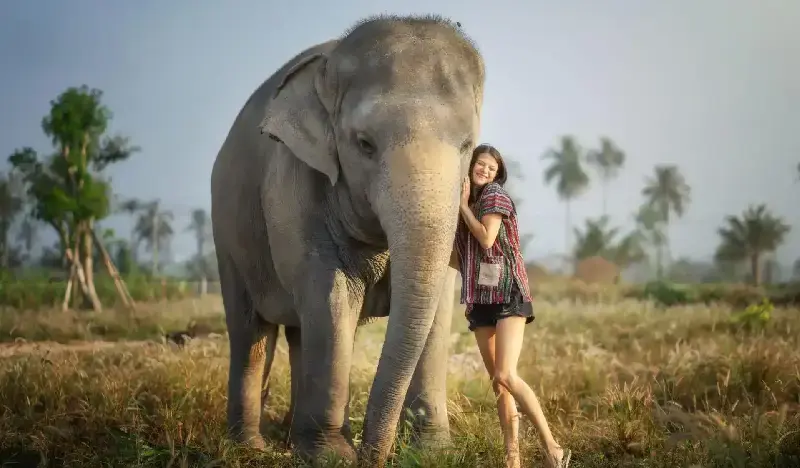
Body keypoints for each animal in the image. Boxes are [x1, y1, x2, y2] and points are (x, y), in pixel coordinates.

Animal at [210, 14, 485, 466]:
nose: (373, 455)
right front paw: (331, 456)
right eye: (364, 144)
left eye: (467, 146)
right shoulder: (295, 184)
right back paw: (250, 446)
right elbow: (331, 293)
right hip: (227, 235)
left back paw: (290, 439)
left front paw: (431, 451)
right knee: (251, 332)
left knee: (301, 332)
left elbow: (438, 301)